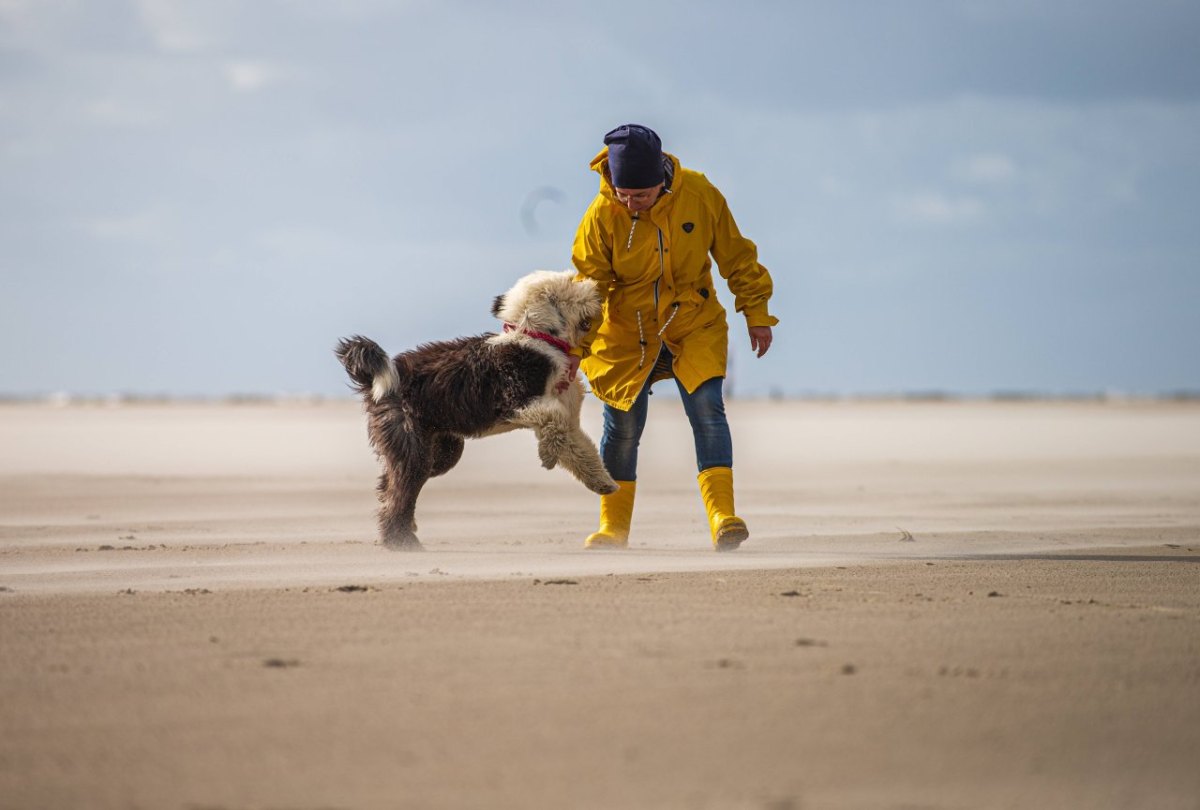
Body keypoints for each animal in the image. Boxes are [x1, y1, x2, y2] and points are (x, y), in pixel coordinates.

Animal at [338, 271, 619, 552]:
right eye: (572, 282)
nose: (598, 288)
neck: (536, 337)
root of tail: (374, 380)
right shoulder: (517, 401)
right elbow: (555, 421)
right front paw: (547, 455)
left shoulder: (566, 420)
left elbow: (579, 448)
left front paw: (602, 482)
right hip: (412, 445)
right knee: (399, 491)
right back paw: (401, 541)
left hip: (441, 451)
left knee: (389, 484)